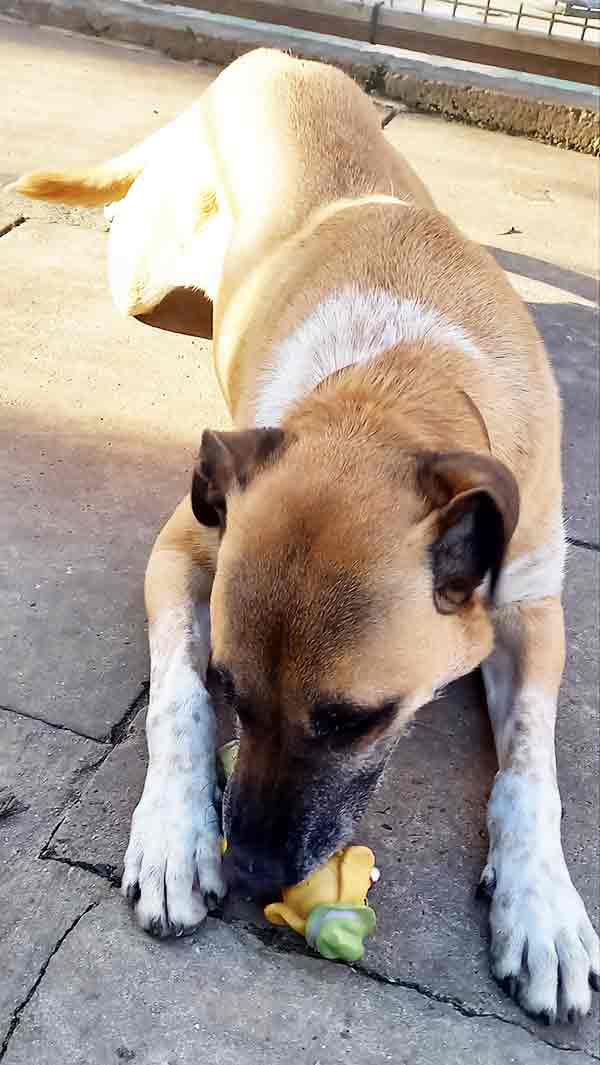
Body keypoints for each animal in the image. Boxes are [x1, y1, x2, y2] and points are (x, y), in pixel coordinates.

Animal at [11, 47, 596, 1022]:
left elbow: (531, 766)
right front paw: (172, 834)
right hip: (141, 270)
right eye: (230, 685)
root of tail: (258, 60)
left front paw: (542, 902)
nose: (250, 870)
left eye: (356, 720)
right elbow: (172, 700)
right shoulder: (184, 545)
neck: (390, 394)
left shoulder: (535, 610)